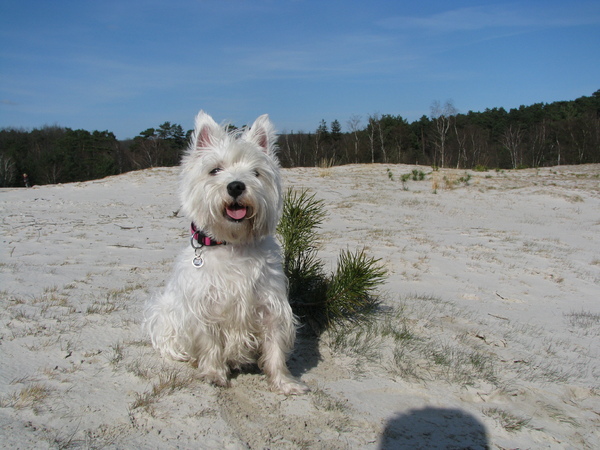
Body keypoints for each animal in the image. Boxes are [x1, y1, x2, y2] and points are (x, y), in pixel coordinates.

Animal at [143, 110, 308, 394]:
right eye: (215, 170)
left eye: (255, 173)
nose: (236, 186)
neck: (232, 245)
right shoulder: (204, 307)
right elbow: (210, 344)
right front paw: (213, 374)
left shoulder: (271, 306)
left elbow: (275, 347)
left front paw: (284, 382)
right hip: (163, 313)